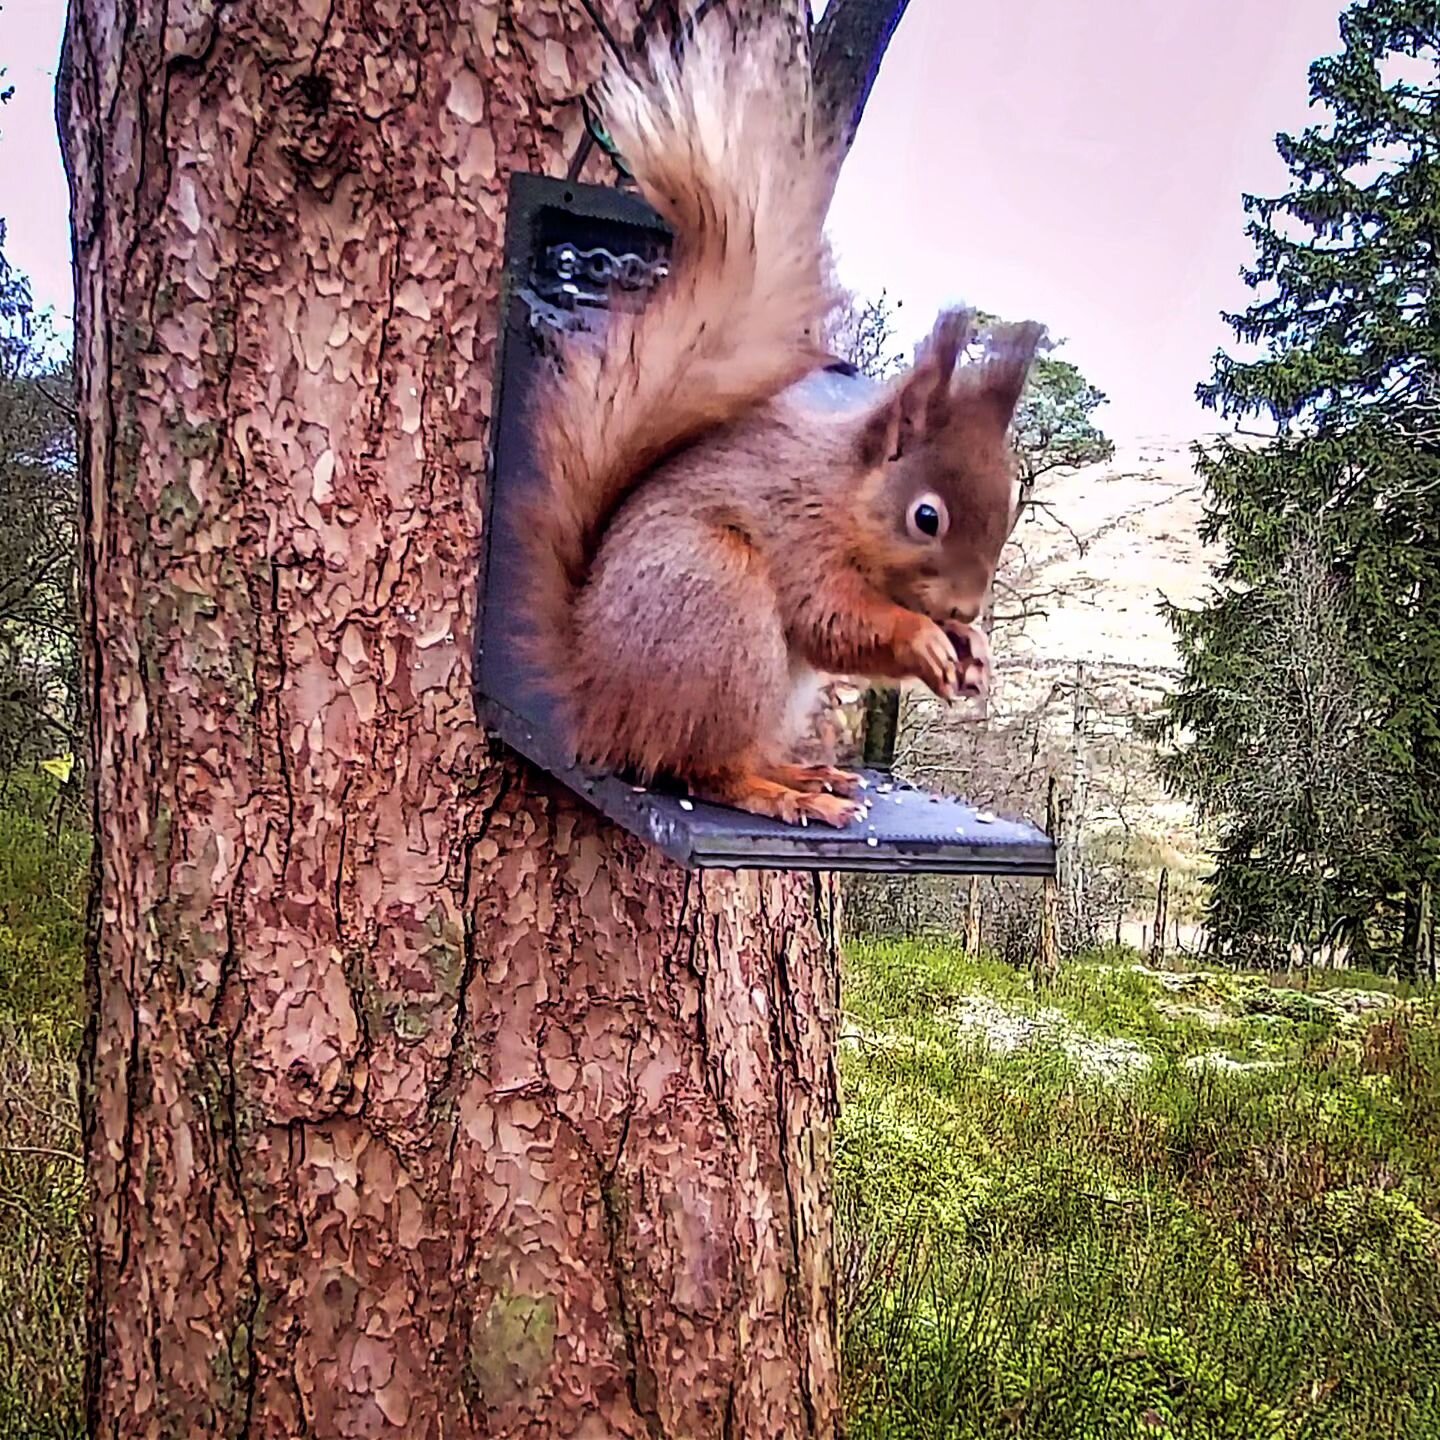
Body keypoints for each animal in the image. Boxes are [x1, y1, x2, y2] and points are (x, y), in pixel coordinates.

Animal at [524, 11, 1042, 829]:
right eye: (926, 518)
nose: (965, 605)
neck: (846, 496)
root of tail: (598, 708)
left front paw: (972, 650)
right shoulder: (800, 532)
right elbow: (832, 618)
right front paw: (925, 639)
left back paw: (806, 773)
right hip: (721, 617)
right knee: (703, 770)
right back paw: (780, 792)